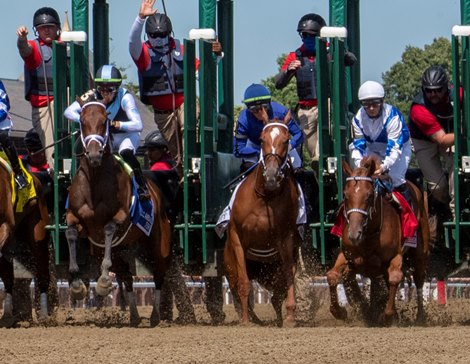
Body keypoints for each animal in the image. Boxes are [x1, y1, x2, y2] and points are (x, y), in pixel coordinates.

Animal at [0, 162, 50, 328]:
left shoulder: (4, 224)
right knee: (8, 278)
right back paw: (7, 315)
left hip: (38, 235)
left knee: (42, 275)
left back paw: (44, 315)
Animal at [65, 100, 170, 328]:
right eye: (82, 121)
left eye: (105, 121)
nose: (94, 155)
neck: (95, 182)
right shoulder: (75, 219)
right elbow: (71, 234)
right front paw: (76, 285)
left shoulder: (120, 218)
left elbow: (109, 229)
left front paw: (104, 282)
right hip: (119, 249)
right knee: (127, 277)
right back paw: (134, 316)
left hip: (158, 243)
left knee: (159, 274)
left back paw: (155, 315)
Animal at [222, 121, 300, 328]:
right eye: (262, 139)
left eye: (286, 140)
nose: (272, 175)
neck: (265, 197)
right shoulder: (237, 238)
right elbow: (244, 284)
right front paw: (245, 321)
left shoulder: (286, 238)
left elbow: (289, 277)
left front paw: (290, 316)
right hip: (230, 266)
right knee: (236, 288)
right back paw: (250, 318)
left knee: (276, 295)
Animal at [326, 155, 430, 326]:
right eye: (346, 195)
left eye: (369, 195)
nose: (354, 234)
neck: (369, 234)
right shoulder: (347, 256)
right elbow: (332, 276)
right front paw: (339, 311)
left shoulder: (396, 255)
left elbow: (395, 277)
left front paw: (387, 316)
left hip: (421, 252)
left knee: (419, 279)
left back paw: (420, 317)